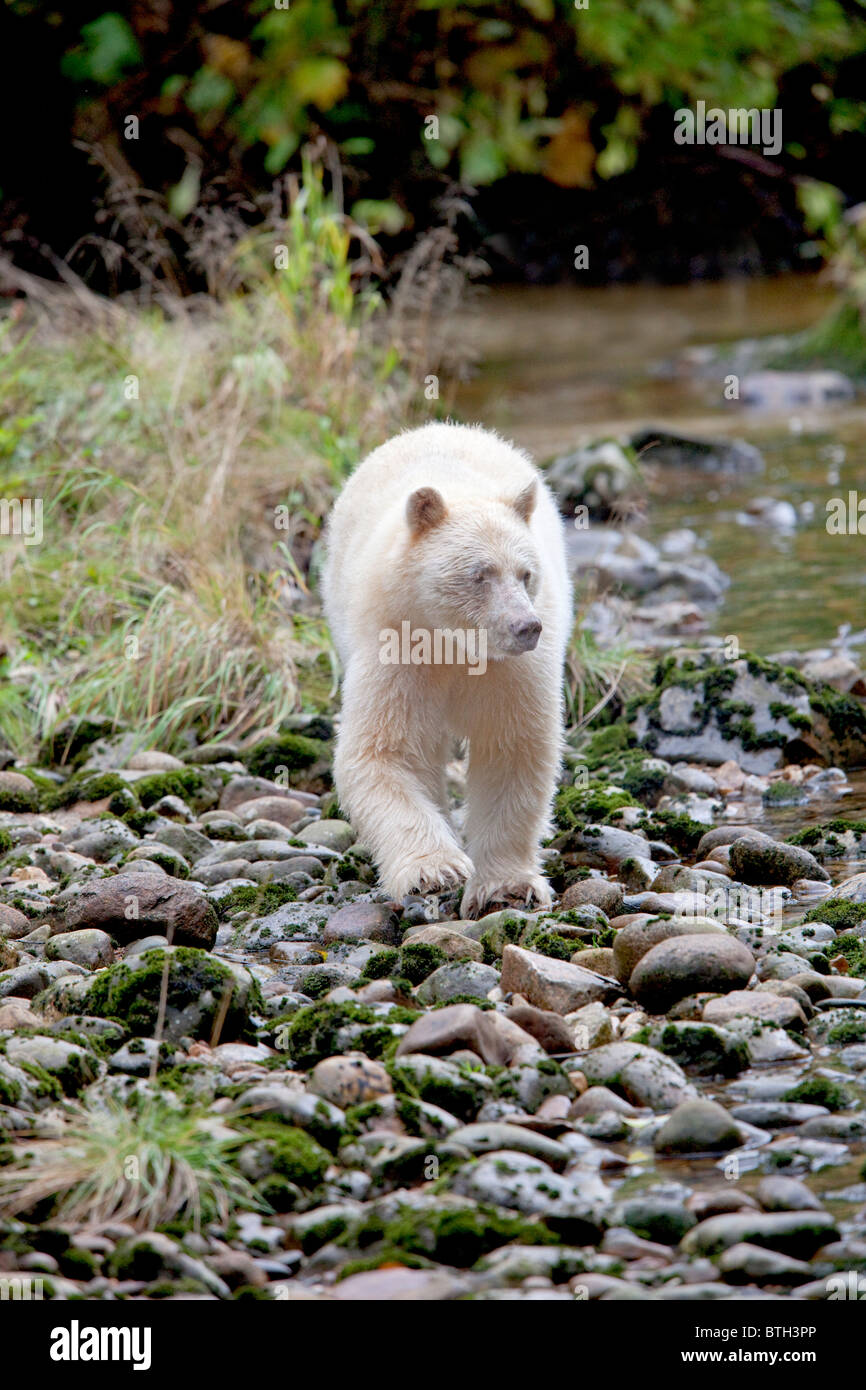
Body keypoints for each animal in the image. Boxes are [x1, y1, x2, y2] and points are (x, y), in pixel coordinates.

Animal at [322, 422, 572, 922]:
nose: (526, 626)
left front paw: (505, 887)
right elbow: (386, 752)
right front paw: (435, 870)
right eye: (480, 574)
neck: (456, 644)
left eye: (526, 573)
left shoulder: (511, 672)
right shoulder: (398, 647)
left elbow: (512, 749)